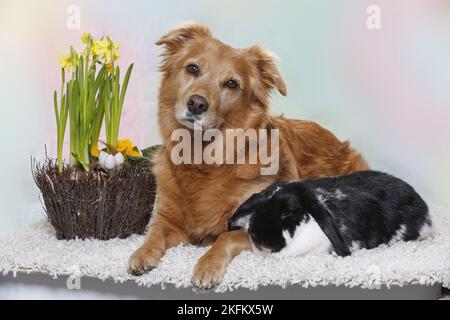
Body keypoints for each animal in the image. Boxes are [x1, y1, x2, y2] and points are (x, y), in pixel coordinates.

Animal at [127, 22, 370, 288]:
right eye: (192, 68)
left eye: (231, 84)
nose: (197, 104)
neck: (202, 157)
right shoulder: (168, 218)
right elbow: (155, 232)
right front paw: (142, 253)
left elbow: (225, 237)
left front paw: (207, 265)